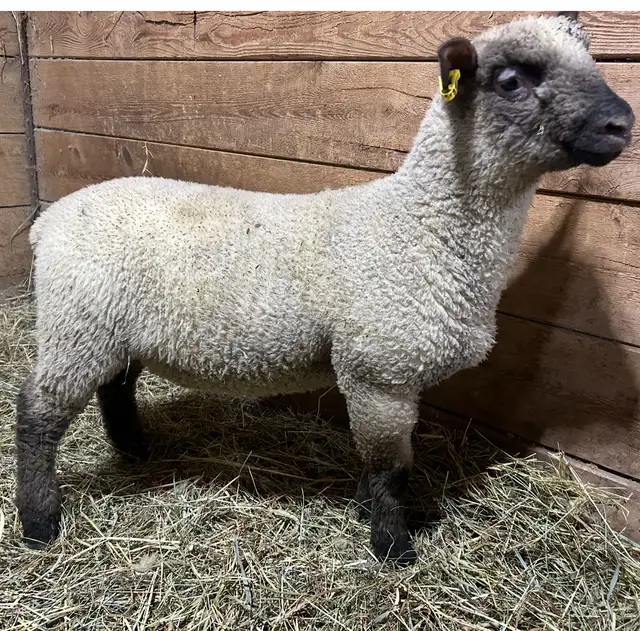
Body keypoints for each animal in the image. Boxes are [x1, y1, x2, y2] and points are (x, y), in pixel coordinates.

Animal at [15, 11, 635, 565]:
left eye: (592, 60)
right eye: (510, 80)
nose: (621, 123)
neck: (420, 227)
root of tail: (50, 221)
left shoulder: (387, 377)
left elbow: (384, 464)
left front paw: (365, 510)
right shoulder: (379, 369)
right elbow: (392, 468)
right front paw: (392, 548)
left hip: (113, 330)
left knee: (114, 390)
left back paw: (137, 453)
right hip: (77, 324)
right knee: (37, 413)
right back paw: (39, 523)